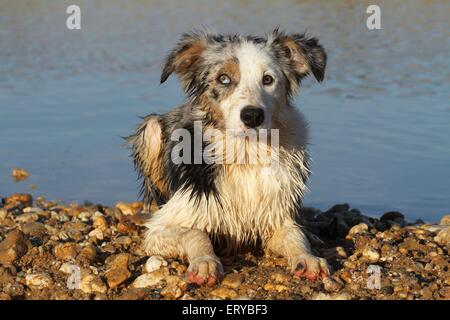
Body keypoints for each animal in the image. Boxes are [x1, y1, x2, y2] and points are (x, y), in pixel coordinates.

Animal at [127, 28, 330, 286]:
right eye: (223, 79)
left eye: (268, 79)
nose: (252, 116)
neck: (246, 153)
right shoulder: (161, 227)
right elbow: (194, 232)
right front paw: (205, 262)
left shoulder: (277, 214)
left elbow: (295, 234)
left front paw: (308, 258)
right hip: (151, 128)